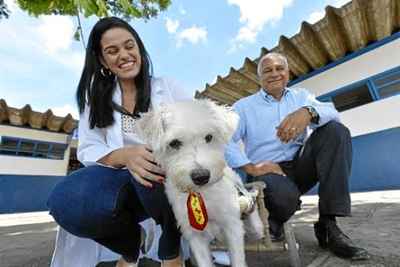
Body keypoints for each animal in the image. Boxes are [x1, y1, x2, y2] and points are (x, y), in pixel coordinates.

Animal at [136, 100, 264, 267]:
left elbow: (237, 260)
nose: (201, 176)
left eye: (209, 137)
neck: (201, 194)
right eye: (174, 143)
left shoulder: (232, 226)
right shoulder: (194, 236)